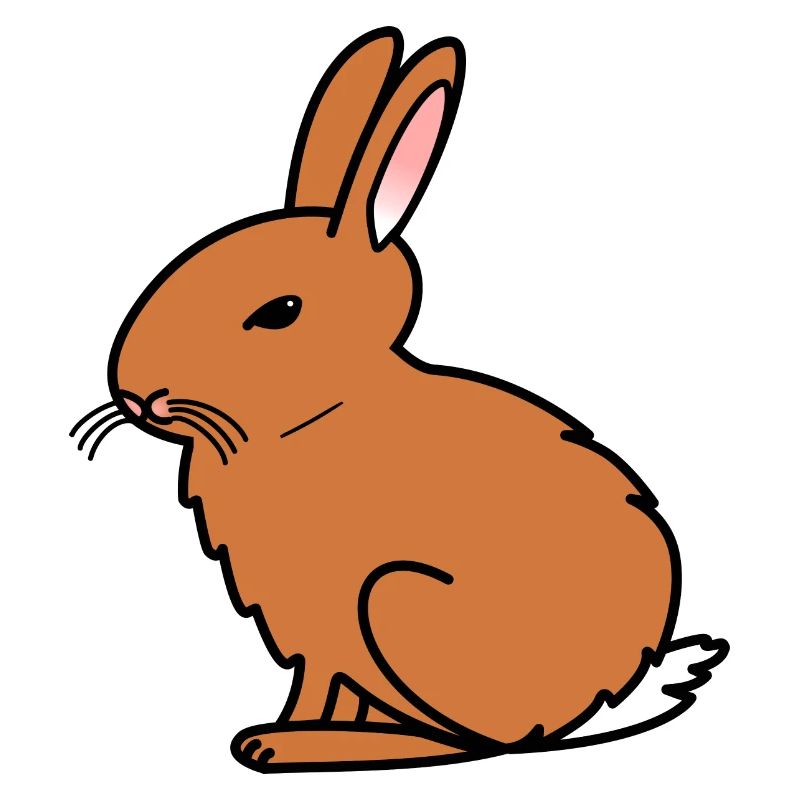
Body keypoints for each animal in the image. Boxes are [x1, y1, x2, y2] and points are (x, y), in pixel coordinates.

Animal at [71, 27, 728, 773]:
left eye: (280, 312)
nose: (136, 396)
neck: (318, 413)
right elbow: (322, 686)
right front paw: (288, 730)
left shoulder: (326, 613)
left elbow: (319, 683)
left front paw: (276, 740)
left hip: (395, 601)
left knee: (472, 742)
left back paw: (331, 747)